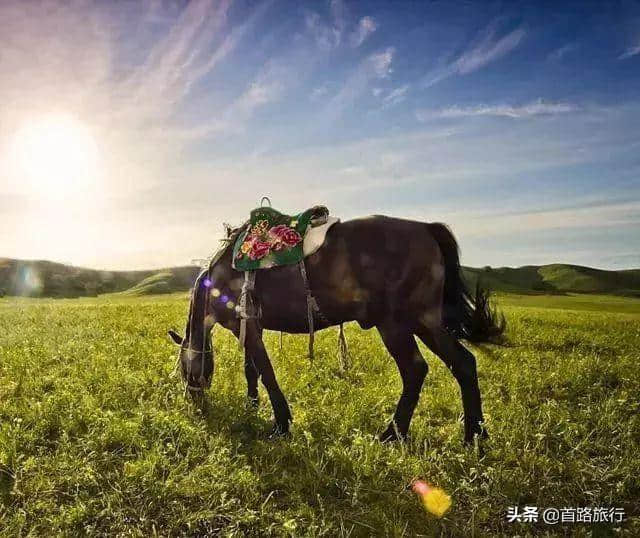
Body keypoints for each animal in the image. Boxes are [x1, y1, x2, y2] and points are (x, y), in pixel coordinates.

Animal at [166, 211, 504, 442]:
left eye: (184, 368)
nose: (194, 403)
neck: (219, 277)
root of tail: (425, 228)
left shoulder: (245, 327)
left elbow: (266, 372)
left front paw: (281, 424)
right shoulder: (250, 328)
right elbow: (252, 369)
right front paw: (253, 406)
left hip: (398, 325)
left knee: (416, 370)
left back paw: (392, 434)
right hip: (425, 323)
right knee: (463, 363)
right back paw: (475, 436)